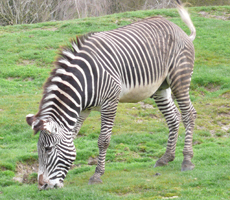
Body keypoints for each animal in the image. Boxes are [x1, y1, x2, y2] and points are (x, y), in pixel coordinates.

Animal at [26, 0, 196, 190]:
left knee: (189, 114)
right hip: (160, 88)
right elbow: (73, 137)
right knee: (174, 117)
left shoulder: (109, 102)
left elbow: (103, 140)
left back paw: (187, 160)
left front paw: (97, 175)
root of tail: (179, 30)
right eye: (38, 150)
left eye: (48, 149)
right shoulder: (83, 110)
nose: (42, 186)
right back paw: (166, 158)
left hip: (179, 79)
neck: (85, 82)